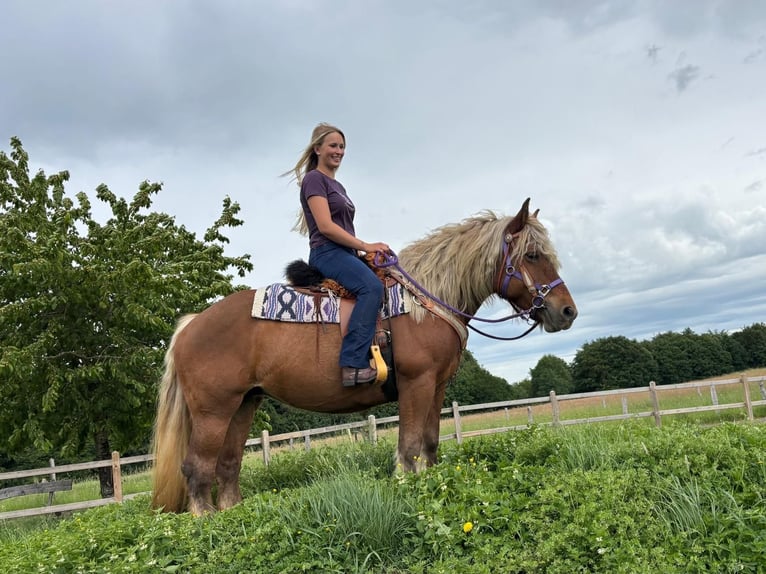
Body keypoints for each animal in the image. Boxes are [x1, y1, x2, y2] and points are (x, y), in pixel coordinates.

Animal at [151, 198, 577, 515]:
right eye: (533, 255)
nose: (567, 311)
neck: (423, 303)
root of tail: (190, 325)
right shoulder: (416, 383)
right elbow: (409, 446)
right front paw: (408, 485)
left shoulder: (437, 386)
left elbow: (430, 443)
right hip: (213, 410)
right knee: (197, 467)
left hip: (243, 404)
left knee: (227, 464)